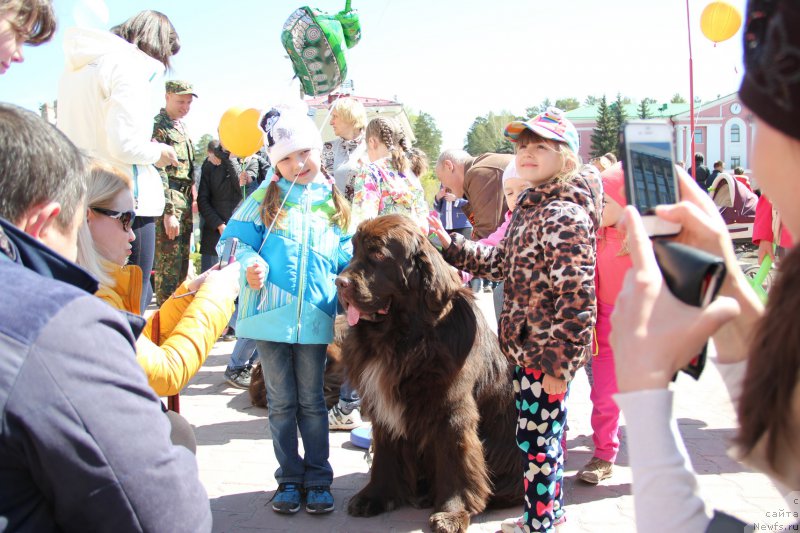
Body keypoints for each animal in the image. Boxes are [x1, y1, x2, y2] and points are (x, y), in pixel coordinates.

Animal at [334, 214, 520, 528]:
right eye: (354, 250)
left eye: (378, 254)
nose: (339, 282)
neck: (402, 339)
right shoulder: (384, 410)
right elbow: (384, 456)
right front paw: (374, 497)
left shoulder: (451, 411)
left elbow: (456, 461)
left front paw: (451, 513)